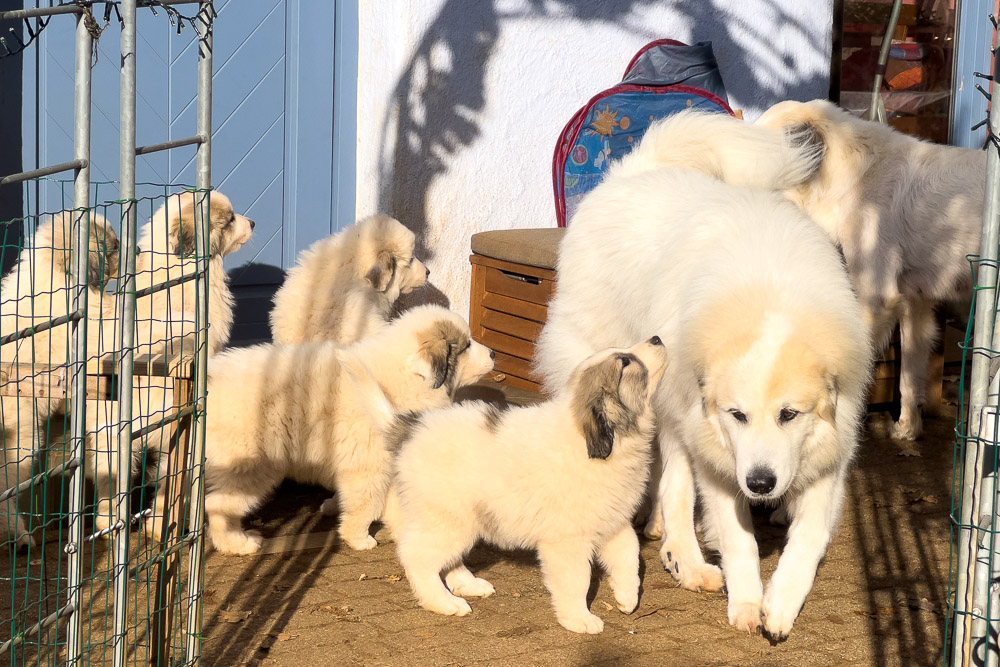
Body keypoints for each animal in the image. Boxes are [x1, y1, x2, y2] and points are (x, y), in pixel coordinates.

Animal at [390, 336, 664, 636]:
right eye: (625, 362)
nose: (656, 338)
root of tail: (414, 428)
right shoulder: (567, 541)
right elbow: (577, 580)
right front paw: (579, 618)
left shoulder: (613, 522)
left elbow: (629, 554)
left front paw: (627, 597)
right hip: (446, 519)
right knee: (417, 557)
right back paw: (443, 601)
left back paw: (468, 584)